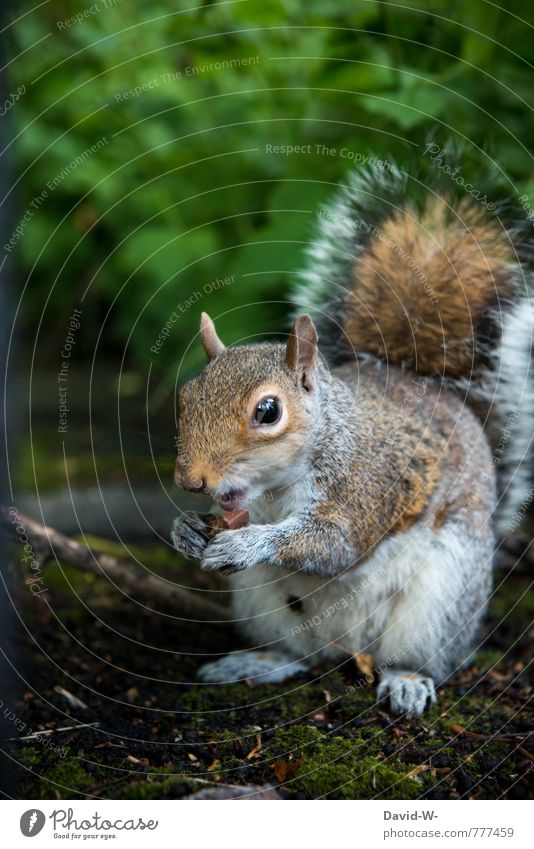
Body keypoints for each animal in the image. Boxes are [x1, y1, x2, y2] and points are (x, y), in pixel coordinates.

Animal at [173, 154, 534, 716]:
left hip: (441, 597)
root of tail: (351, 646)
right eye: (185, 397)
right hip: (265, 604)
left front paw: (250, 542)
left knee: (413, 656)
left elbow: (333, 544)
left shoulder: (368, 482)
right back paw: (258, 663)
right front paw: (185, 530)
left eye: (268, 411)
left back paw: (407, 681)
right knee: (300, 653)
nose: (191, 481)